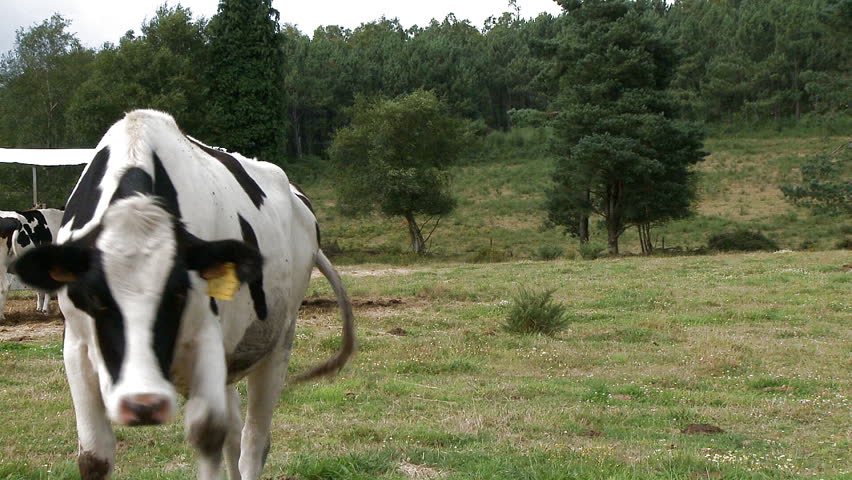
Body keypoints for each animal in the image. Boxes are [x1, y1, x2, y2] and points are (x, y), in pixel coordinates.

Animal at [11, 109, 355, 480]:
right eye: (94, 298)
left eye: (178, 294)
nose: (143, 404)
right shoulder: (76, 346)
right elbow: (94, 457)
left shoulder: (206, 339)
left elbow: (208, 435)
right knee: (234, 434)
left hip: (278, 340)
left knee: (252, 442)